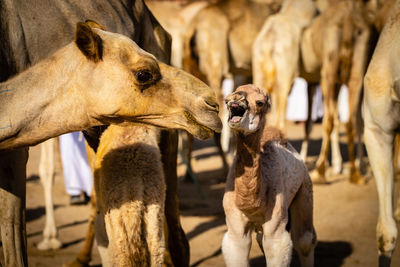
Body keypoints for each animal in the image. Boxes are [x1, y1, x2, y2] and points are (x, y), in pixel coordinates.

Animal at [222, 85, 316, 267]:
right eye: (227, 98)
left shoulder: (276, 231)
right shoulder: (235, 231)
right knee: (261, 238)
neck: (252, 204)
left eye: (259, 102)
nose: (236, 98)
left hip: (305, 189)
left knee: (304, 240)